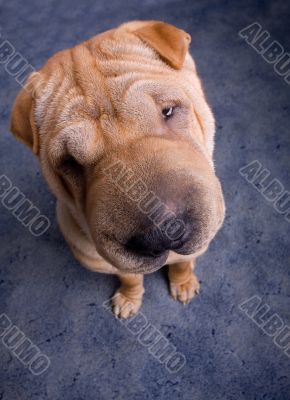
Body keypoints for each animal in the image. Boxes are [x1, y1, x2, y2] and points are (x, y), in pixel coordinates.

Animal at [10, 20, 225, 318]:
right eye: (70, 162)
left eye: (168, 111)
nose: (161, 235)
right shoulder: (108, 261)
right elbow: (130, 277)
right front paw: (129, 298)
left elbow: (182, 263)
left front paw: (183, 282)